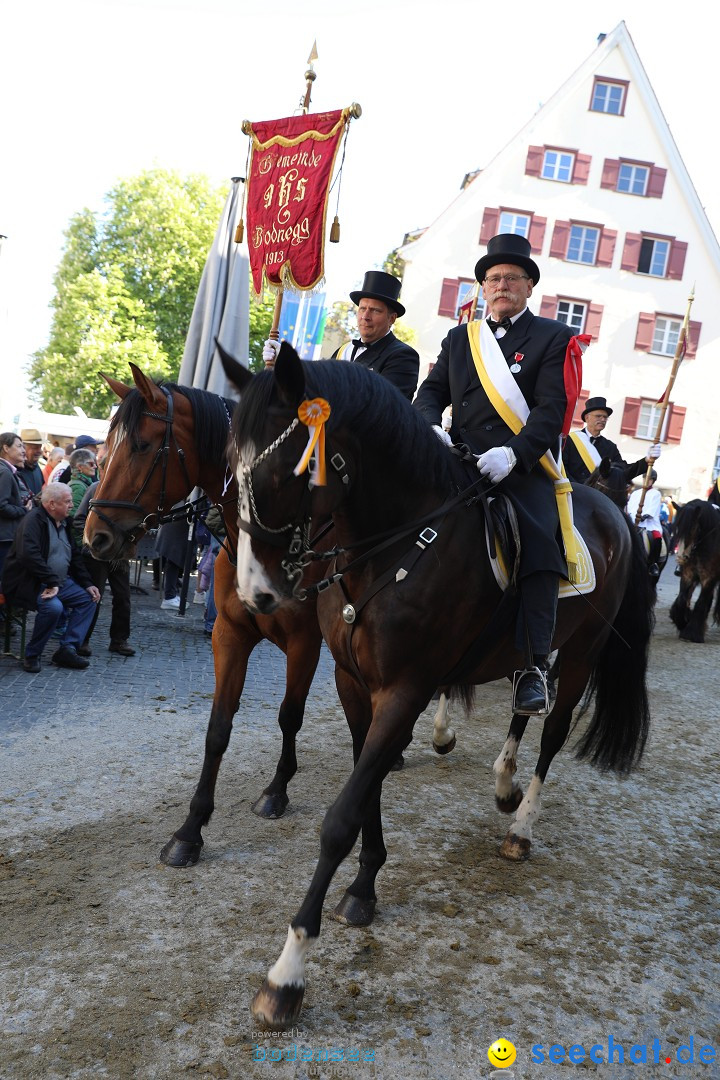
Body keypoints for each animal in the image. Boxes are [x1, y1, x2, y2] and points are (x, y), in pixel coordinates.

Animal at [221, 347, 651, 1028]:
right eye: (230, 470)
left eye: (288, 472)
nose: (255, 594)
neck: (392, 545)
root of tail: (612, 514)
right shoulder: (353, 685)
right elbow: (366, 790)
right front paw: (363, 888)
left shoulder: (407, 689)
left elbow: (340, 818)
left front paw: (287, 974)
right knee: (526, 699)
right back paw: (503, 783)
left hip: (583, 654)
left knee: (553, 733)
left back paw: (521, 825)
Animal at [669, 496, 720, 639]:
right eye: (677, 527)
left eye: (692, 527)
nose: (681, 557)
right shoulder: (688, 575)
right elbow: (682, 599)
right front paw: (682, 621)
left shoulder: (709, 578)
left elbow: (701, 602)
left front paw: (692, 632)